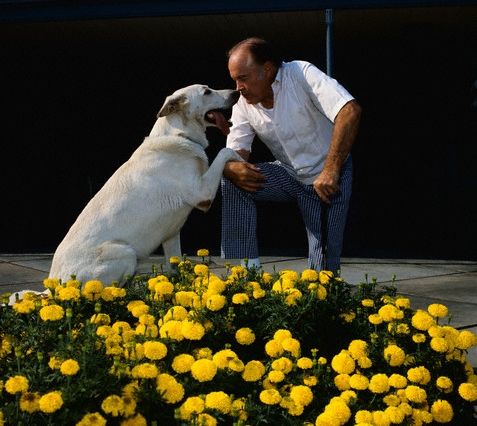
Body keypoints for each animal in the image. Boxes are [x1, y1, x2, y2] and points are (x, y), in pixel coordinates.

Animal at [46, 84, 242, 284]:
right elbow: (225, 151)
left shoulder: (172, 234)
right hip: (125, 252)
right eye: (207, 91)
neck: (180, 135)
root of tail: (55, 283)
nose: (237, 92)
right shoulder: (203, 194)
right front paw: (242, 160)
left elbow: (176, 266)